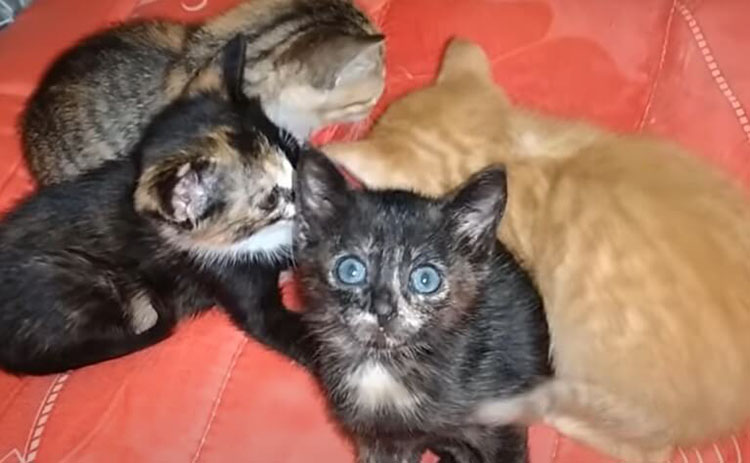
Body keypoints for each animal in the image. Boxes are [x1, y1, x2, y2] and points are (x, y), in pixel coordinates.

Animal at [239, 149, 552, 463]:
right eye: (350, 270)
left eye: (426, 279)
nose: (382, 309)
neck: (385, 367)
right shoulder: (380, 440)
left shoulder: (504, 427)